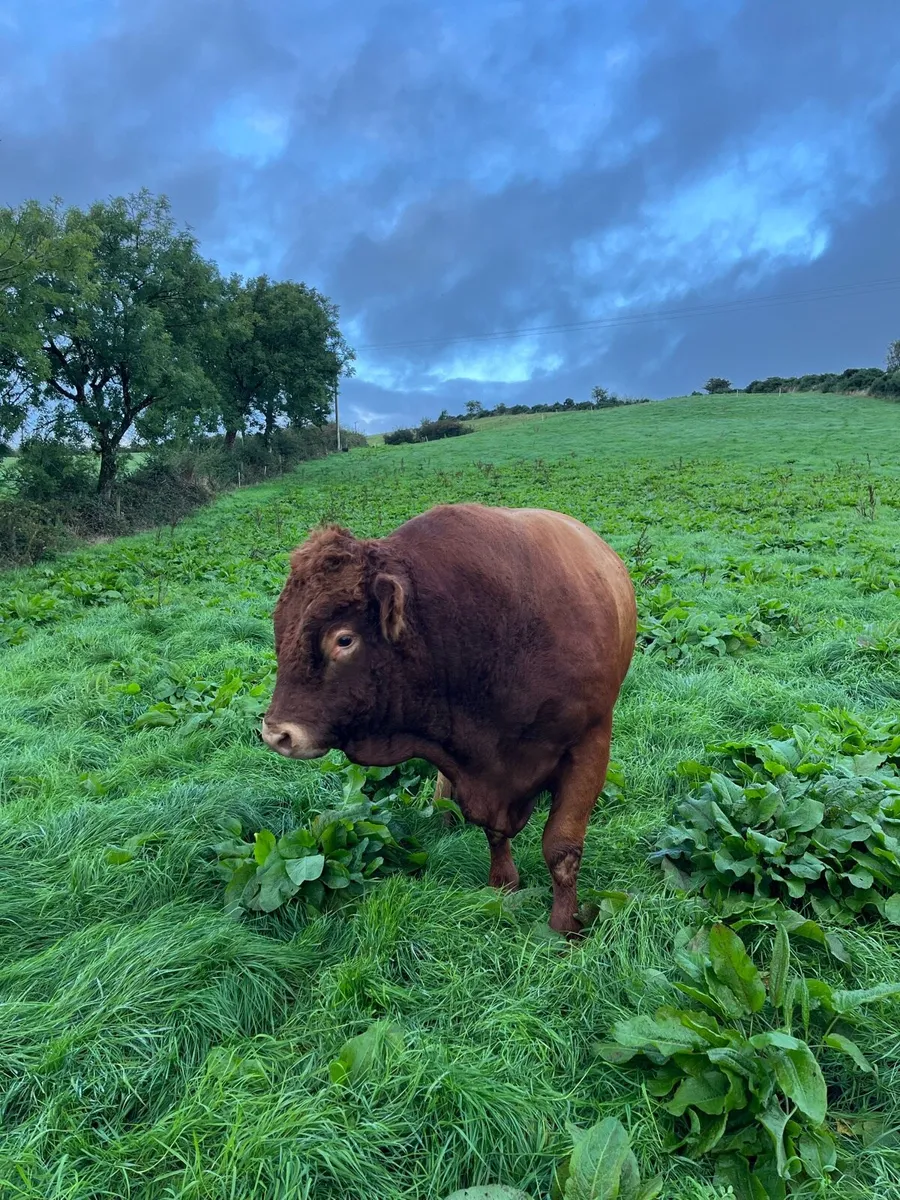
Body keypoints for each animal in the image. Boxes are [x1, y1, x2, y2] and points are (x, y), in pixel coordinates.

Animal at [261, 502, 637, 934]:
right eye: (281, 630)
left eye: (343, 639)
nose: (277, 734)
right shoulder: (476, 769)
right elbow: (493, 832)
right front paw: (502, 883)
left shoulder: (589, 742)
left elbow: (561, 848)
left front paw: (564, 926)